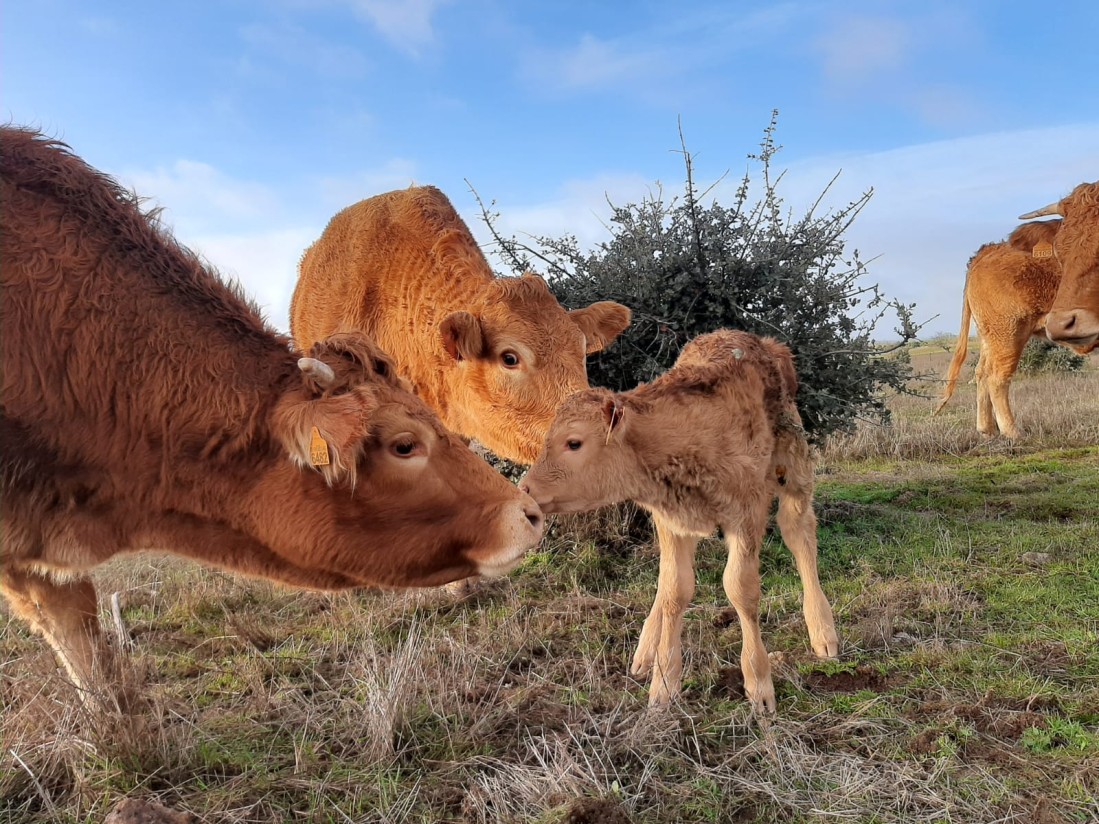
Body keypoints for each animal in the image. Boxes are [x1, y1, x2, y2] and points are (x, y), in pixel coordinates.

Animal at [518, 329, 835, 716]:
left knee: (799, 532)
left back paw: (823, 632)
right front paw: (664, 684)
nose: (526, 490)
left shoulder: (747, 512)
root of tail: (764, 342)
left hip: (794, 467)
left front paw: (759, 684)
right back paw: (645, 652)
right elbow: (674, 590)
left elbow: (740, 589)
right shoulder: (671, 520)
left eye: (574, 442)